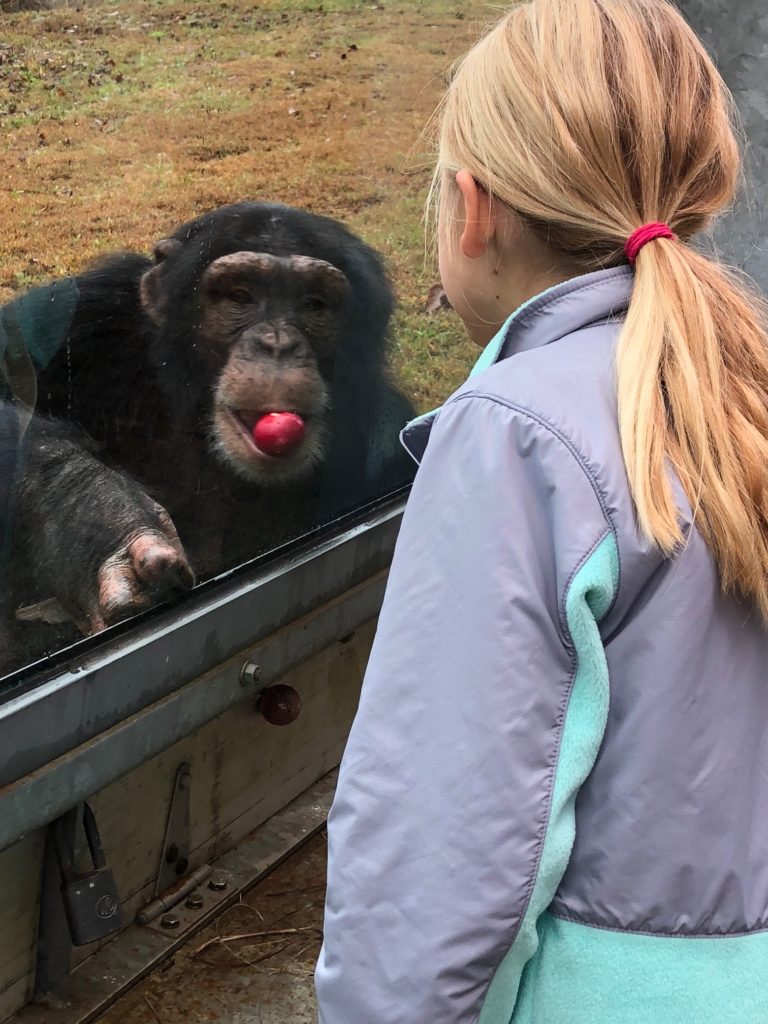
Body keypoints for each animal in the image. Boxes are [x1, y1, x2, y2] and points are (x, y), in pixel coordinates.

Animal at [0, 201, 415, 663]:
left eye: (314, 304)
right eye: (240, 296)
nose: (277, 344)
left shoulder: (389, 447)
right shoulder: (84, 313)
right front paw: (95, 514)